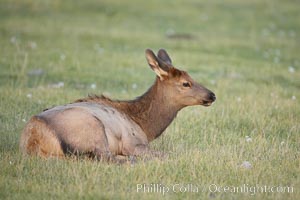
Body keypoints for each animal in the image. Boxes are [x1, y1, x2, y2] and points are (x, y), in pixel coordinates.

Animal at [19, 48, 216, 162]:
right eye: (185, 83)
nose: (212, 95)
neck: (146, 126)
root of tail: (35, 139)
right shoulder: (133, 142)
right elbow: (167, 154)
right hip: (92, 129)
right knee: (107, 158)